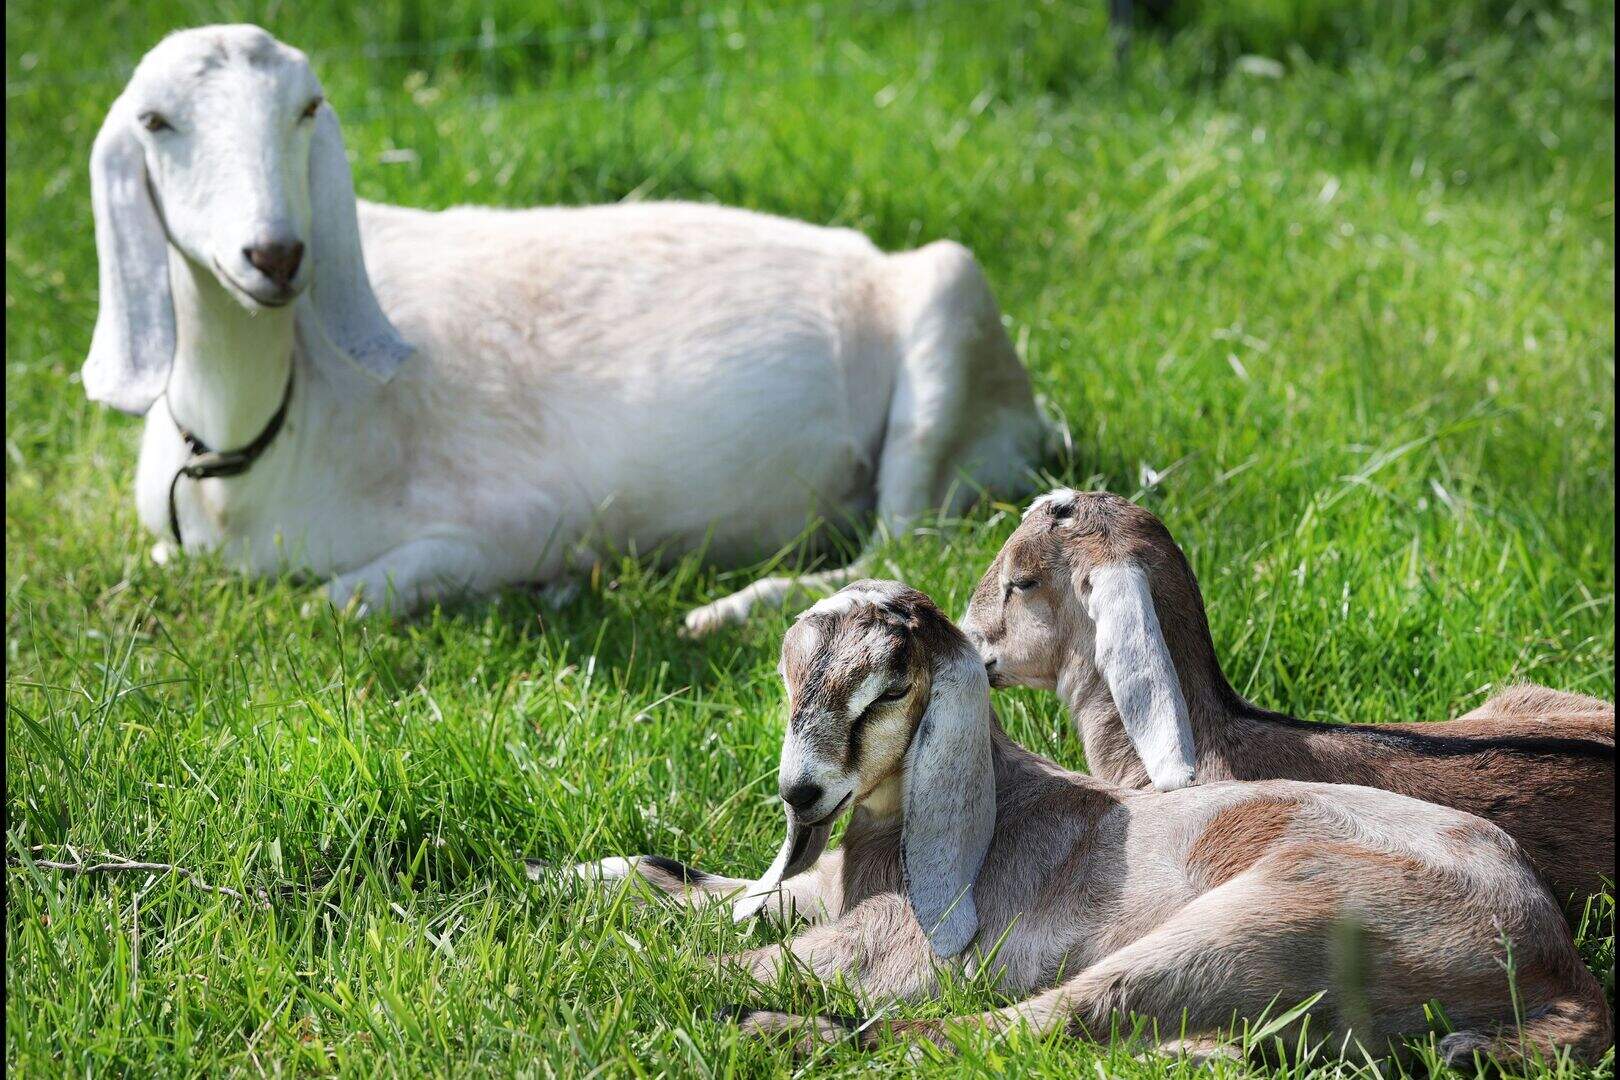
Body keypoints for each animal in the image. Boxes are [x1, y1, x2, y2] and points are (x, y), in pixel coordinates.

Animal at [85, 25, 1051, 631]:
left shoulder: (515, 518)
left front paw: (546, 583)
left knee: (900, 551)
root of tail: (1039, 420)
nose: (277, 254)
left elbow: (337, 602)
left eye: (307, 108)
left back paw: (720, 609)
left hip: (949, 317)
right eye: (154, 121)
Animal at [571, 581, 1610, 1064]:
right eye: (789, 674)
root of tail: (1553, 959)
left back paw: (779, 1032)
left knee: (1024, 1025)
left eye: (890, 688)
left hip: (1274, 917)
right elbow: (670, 876)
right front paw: (557, 886)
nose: (801, 794)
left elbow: (703, 961)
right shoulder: (812, 892)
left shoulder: (892, 949)